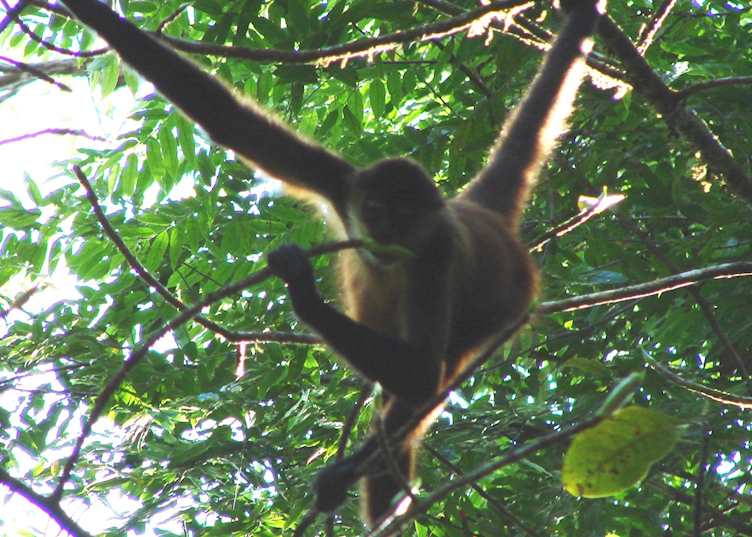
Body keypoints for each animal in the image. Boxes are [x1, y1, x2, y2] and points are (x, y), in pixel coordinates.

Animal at [60, 0, 604, 530]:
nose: (383, 235)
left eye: (405, 218)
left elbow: (422, 374)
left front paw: (304, 294)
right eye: (376, 211)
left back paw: (358, 474)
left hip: (505, 305)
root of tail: (482, 213)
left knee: (431, 378)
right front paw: (92, 13)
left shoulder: (437, 250)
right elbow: (226, 119)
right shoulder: (345, 183)